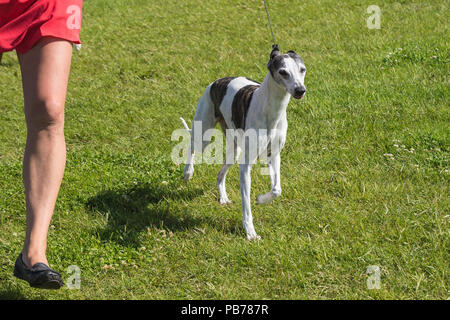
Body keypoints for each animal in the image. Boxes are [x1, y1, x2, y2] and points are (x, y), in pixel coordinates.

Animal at [181, 45, 308, 240]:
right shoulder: (246, 166)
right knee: (192, 144)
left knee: (220, 174)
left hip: (235, 150)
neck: (271, 110)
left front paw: (261, 199)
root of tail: (216, 81)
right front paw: (250, 233)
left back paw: (223, 197)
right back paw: (188, 172)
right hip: (204, 134)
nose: (300, 90)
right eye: (283, 72)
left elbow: (277, 190)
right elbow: (246, 204)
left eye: (302, 69)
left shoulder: (273, 155)